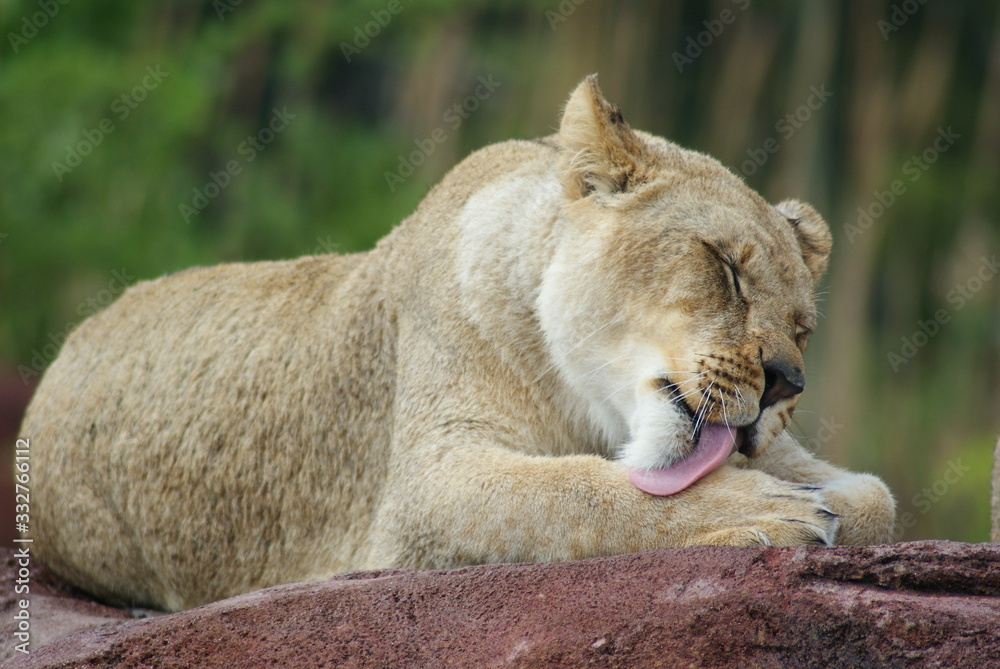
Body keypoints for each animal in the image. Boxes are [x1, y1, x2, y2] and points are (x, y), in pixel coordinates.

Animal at [22, 76, 895, 612]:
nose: (785, 382)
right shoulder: (426, 486)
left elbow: (878, 498)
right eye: (724, 268)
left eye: (804, 328)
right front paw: (765, 508)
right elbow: (574, 491)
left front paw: (812, 503)